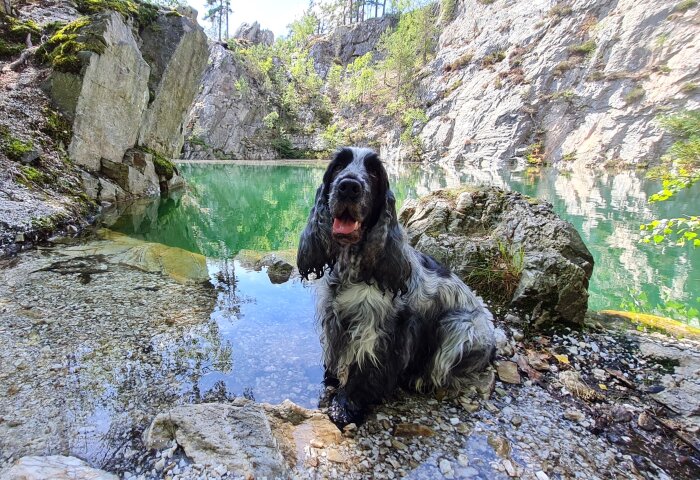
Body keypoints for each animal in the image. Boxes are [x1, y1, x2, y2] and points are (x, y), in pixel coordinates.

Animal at [298, 148, 494, 426]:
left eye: (373, 172)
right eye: (338, 167)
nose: (349, 186)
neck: (352, 267)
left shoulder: (376, 329)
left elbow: (364, 370)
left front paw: (344, 406)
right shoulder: (334, 317)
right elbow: (334, 356)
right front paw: (330, 381)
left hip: (459, 326)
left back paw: (419, 378)